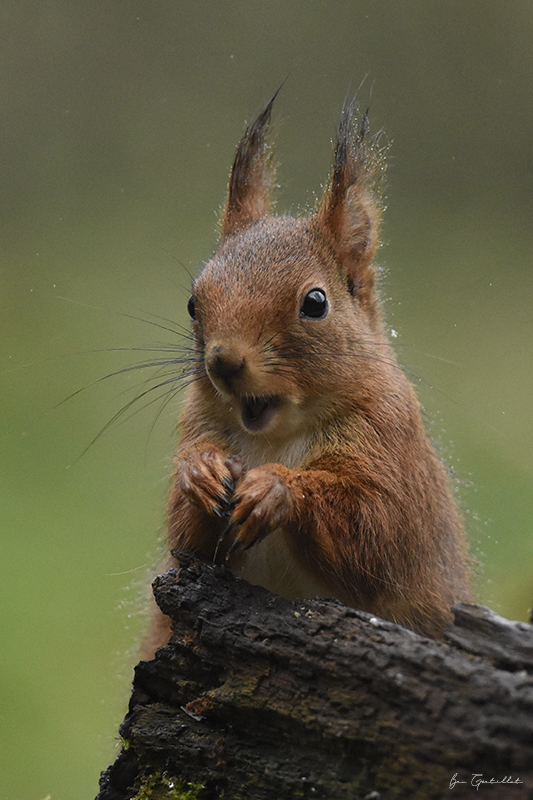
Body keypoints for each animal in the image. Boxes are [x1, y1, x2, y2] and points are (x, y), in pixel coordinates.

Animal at [143, 94, 468, 656]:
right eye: (192, 303)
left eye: (315, 302)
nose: (223, 361)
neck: (275, 437)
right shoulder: (198, 425)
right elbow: (186, 539)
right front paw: (199, 472)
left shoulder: (392, 449)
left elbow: (376, 534)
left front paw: (278, 490)